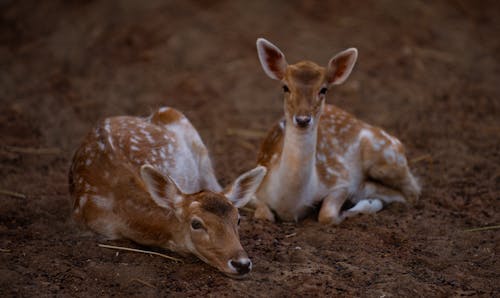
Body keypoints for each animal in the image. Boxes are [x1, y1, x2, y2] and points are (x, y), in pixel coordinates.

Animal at [252, 37, 420, 224]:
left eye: (323, 89)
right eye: (285, 87)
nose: (303, 119)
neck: (289, 201)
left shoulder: (338, 180)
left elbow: (327, 215)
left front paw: (347, 211)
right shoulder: (254, 186)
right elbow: (263, 215)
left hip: (387, 156)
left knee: (412, 192)